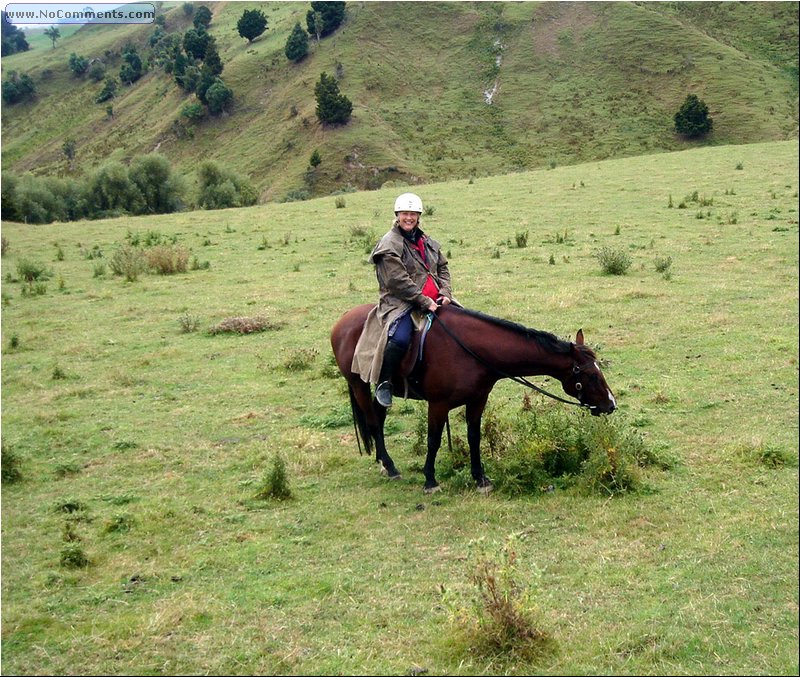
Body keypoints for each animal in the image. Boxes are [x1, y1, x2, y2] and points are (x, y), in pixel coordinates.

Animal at [328, 304, 616, 492]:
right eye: (591, 375)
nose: (610, 404)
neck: (472, 350)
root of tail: (341, 322)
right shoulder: (438, 405)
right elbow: (433, 441)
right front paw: (430, 480)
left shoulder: (478, 400)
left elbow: (474, 437)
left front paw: (480, 478)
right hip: (358, 384)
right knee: (373, 422)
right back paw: (389, 466)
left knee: (378, 416)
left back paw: (383, 462)